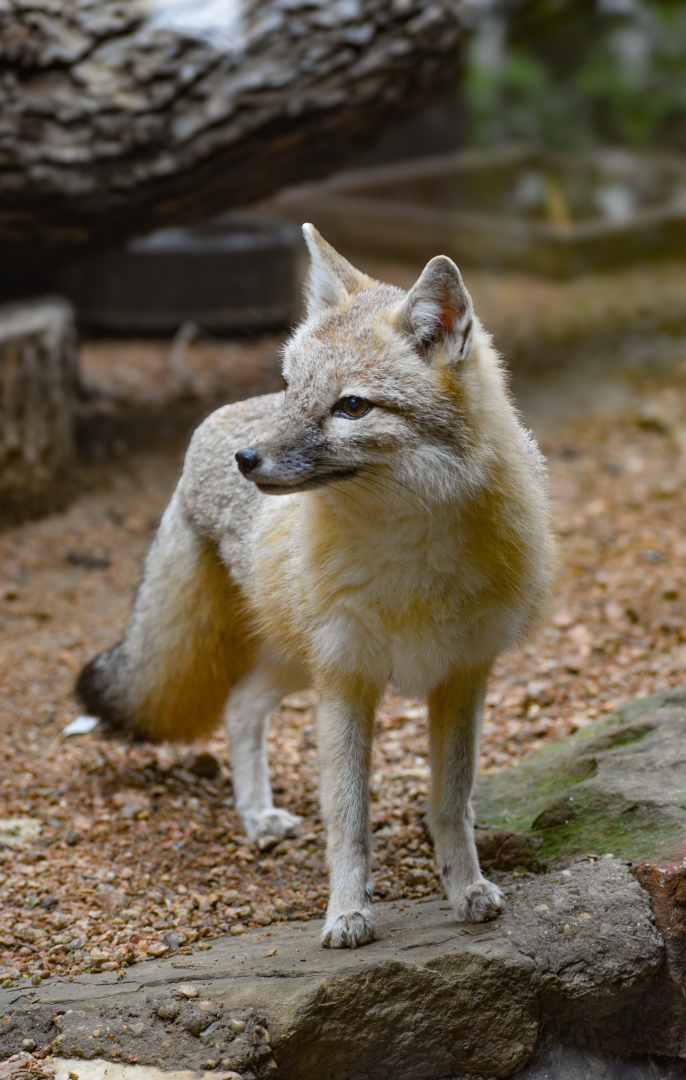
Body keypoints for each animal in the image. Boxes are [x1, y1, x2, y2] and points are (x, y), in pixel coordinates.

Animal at [76, 225, 554, 949]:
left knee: (241, 706)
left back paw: (258, 814)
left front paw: (465, 889)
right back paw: (256, 818)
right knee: (239, 707)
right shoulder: (346, 679)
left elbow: (452, 804)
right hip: (306, 658)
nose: (247, 460)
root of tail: (217, 419)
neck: (411, 557)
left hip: (294, 659)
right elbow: (349, 819)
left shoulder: (461, 675)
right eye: (293, 388)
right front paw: (348, 912)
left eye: (351, 407)